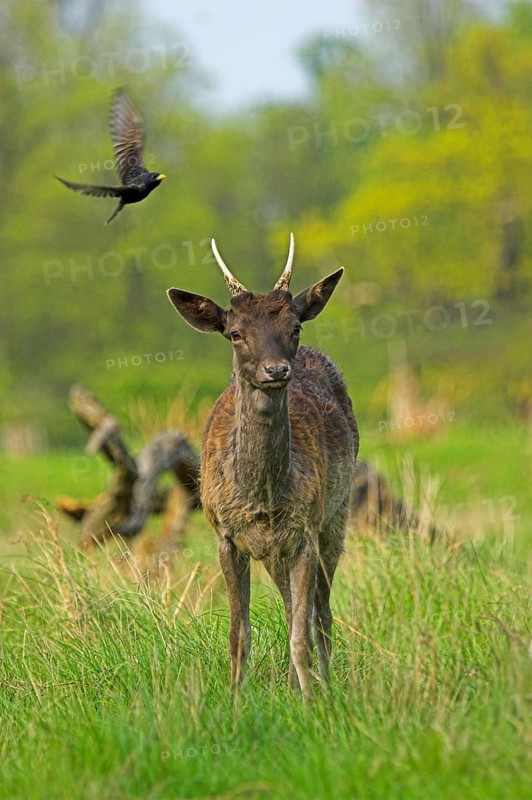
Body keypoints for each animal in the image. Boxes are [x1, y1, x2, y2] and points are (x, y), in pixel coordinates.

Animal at [167, 234, 358, 697]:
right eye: (235, 333)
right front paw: (236, 699)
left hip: (336, 517)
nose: (276, 369)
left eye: (294, 326)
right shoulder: (226, 534)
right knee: (293, 608)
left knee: (320, 615)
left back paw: (322, 684)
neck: (263, 495)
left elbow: (302, 632)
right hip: (275, 551)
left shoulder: (305, 528)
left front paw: (313, 701)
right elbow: (239, 633)